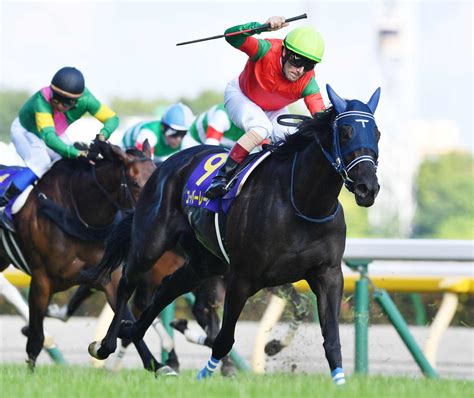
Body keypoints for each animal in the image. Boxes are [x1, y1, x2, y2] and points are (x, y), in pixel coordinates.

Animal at [0, 140, 161, 370]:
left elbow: (127, 323)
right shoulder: (41, 280)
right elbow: (36, 338)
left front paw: (158, 366)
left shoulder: (107, 278)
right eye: (135, 183)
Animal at [87, 84, 380, 386]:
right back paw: (107, 344)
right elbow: (224, 338)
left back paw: (135, 334)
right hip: (151, 243)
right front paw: (208, 373)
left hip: (205, 261)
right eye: (345, 132)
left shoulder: (327, 274)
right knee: (126, 286)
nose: (367, 187)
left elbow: (329, 335)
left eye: (377, 133)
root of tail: (169, 163)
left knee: (169, 287)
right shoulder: (243, 276)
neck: (302, 203)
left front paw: (338, 382)